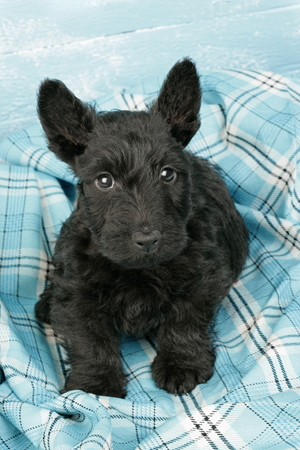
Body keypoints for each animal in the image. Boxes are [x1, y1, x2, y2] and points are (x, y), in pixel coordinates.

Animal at [34, 59, 248, 398]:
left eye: (167, 174)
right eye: (104, 180)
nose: (148, 240)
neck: (138, 270)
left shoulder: (203, 277)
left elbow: (184, 320)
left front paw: (181, 364)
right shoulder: (77, 293)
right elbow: (89, 339)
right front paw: (95, 386)